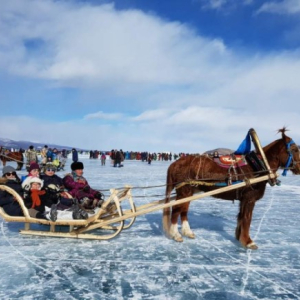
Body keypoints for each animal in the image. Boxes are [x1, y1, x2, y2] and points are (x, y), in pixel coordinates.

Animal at [163, 128, 300, 248]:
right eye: (294, 149)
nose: (299, 168)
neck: (258, 165)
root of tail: (175, 163)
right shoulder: (249, 198)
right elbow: (247, 219)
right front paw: (248, 242)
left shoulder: (244, 199)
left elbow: (241, 217)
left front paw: (239, 237)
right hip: (184, 191)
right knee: (176, 210)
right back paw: (175, 234)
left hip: (189, 191)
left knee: (184, 210)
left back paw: (187, 232)